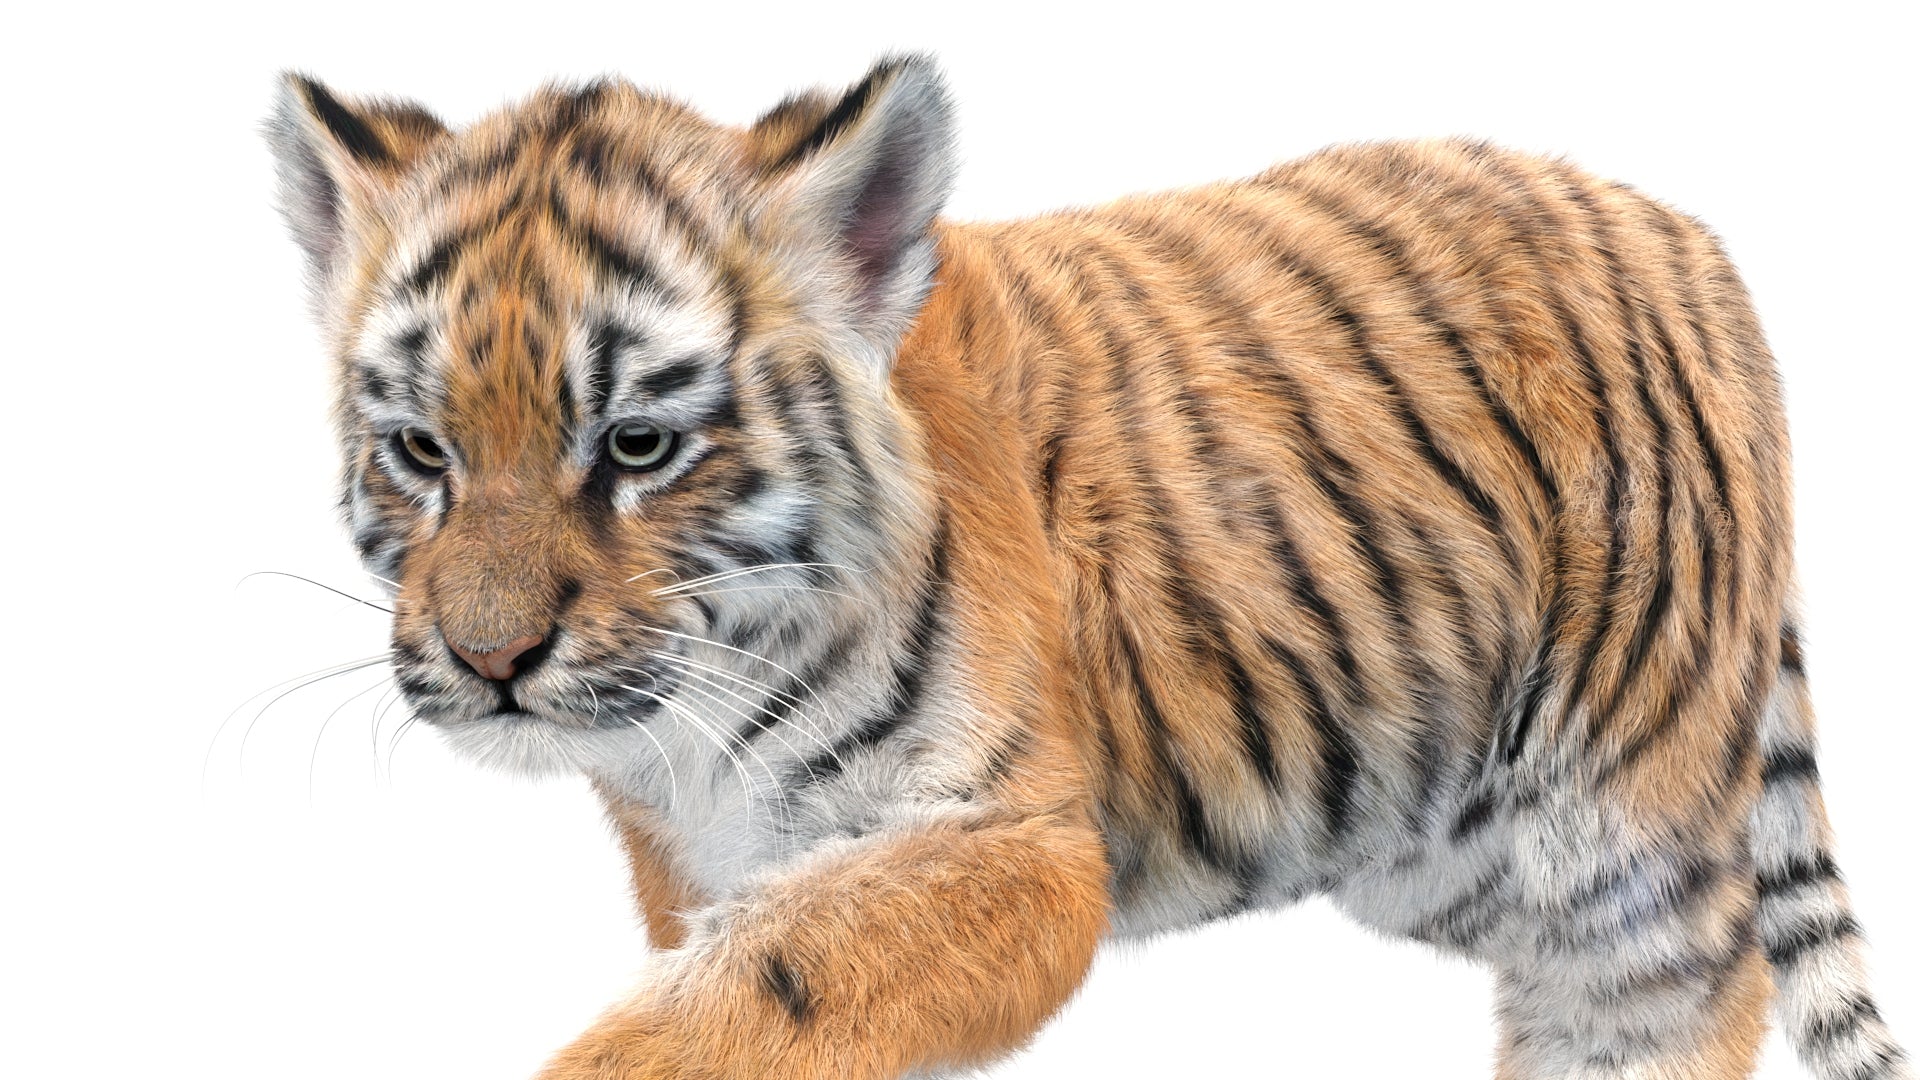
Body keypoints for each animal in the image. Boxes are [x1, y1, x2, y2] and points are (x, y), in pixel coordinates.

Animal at [265, 54, 1910, 1080]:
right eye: (419, 450)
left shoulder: (1017, 840)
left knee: (1685, 986)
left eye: (637, 445)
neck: (696, 734)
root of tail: (1681, 232)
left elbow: (767, 990)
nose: (488, 661)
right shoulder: (717, 869)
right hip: (1431, 820)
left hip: (1613, 811)